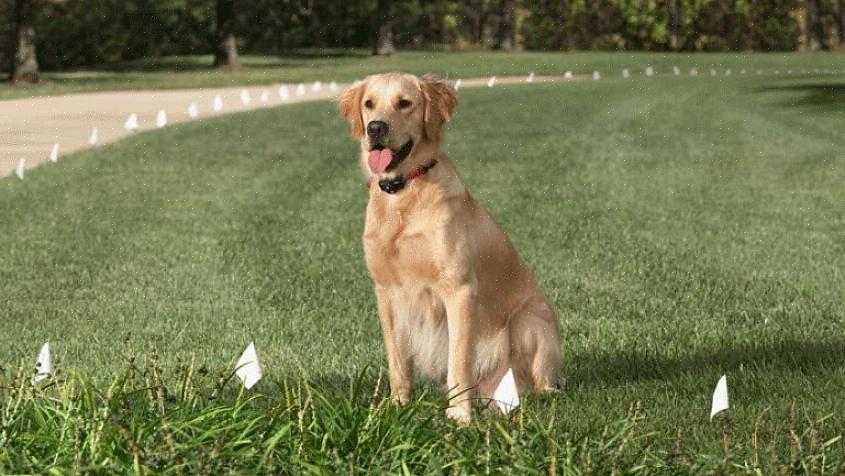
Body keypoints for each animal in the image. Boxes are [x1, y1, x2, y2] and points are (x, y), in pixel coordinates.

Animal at [336, 73, 560, 424]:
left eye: (404, 103)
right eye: (369, 103)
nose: (375, 128)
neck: (404, 193)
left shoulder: (459, 289)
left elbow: (458, 361)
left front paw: (459, 415)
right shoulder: (386, 292)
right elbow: (398, 363)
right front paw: (397, 407)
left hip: (528, 321)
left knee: (542, 386)